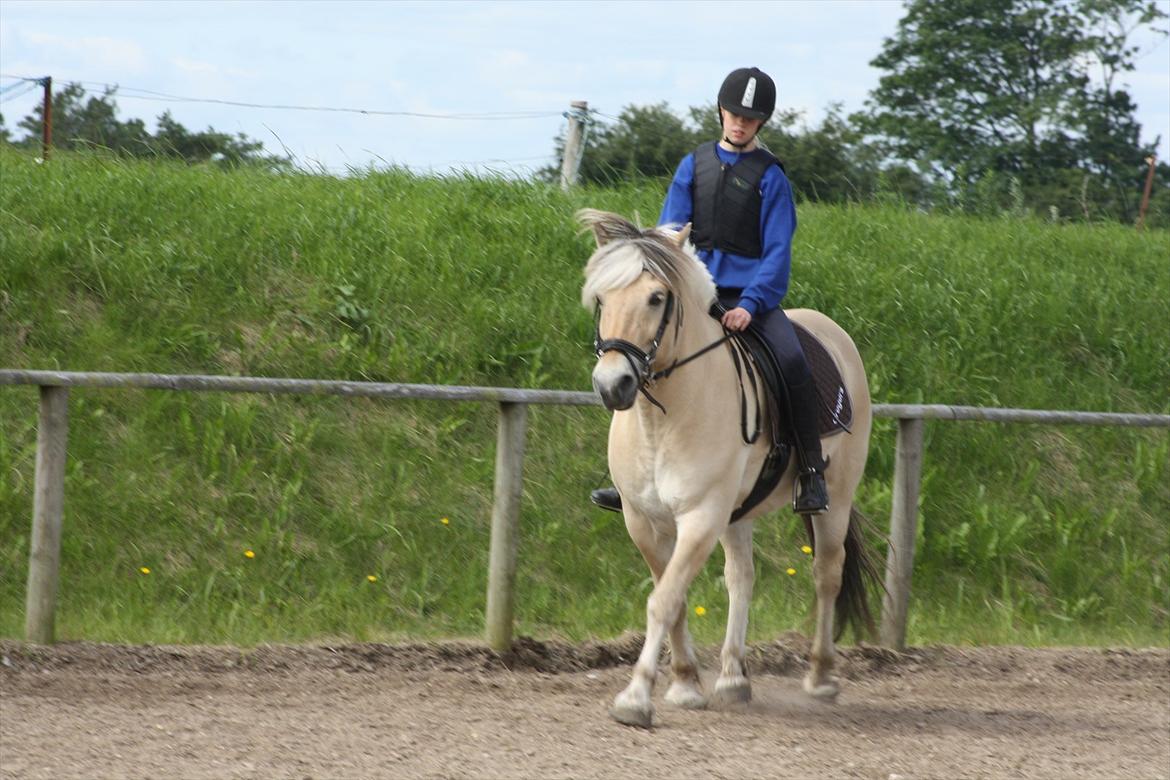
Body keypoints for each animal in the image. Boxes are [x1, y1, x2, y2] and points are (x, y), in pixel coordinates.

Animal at [580, 210, 879, 729]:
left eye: (656, 297)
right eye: (602, 297)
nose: (612, 385)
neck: (663, 419)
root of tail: (829, 331)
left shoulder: (700, 517)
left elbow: (663, 601)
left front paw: (635, 699)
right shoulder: (643, 522)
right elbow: (675, 599)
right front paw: (685, 685)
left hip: (835, 498)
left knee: (827, 573)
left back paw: (820, 678)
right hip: (738, 513)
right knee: (742, 576)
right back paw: (733, 679)